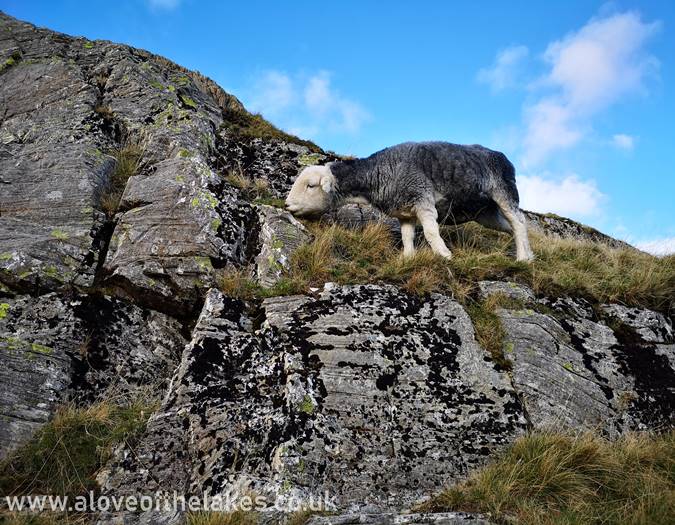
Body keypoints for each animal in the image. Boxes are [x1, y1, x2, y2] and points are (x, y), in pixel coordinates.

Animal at [285, 141, 534, 262]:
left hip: (504, 192)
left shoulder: (423, 200)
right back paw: (528, 253)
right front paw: (407, 258)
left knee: (519, 222)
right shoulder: (405, 213)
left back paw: (523, 259)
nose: (286, 205)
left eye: (310, 185)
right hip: (485, 212)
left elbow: (432, 232)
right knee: (511, 227)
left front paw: (444, 255)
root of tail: (502, 157)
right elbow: (407, 237)